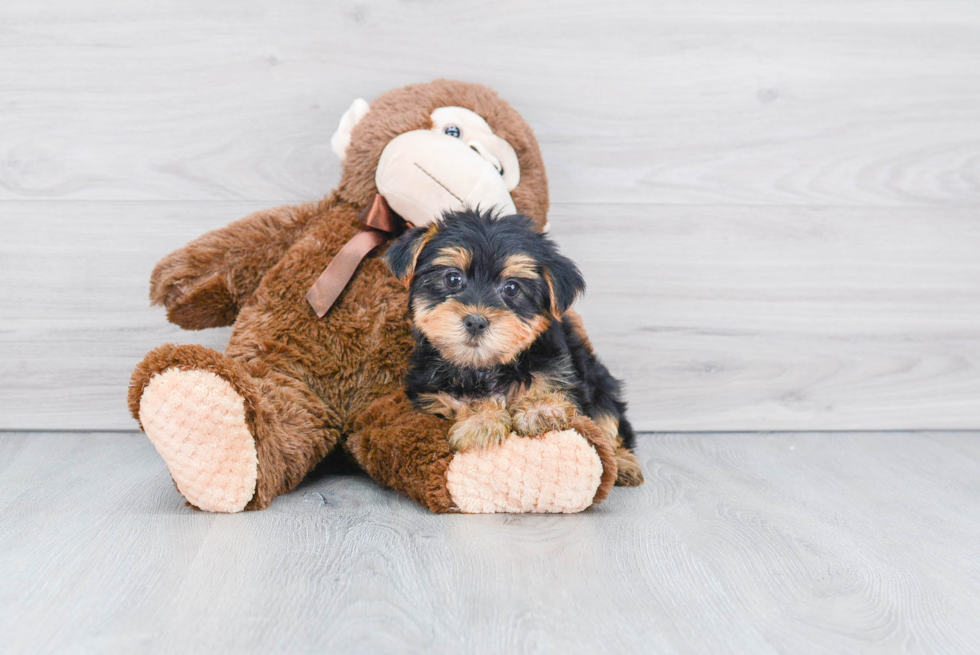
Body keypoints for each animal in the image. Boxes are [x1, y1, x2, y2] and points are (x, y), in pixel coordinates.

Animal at [382, 210, 644, 486]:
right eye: (453, 278)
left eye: (511, 288)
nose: (476, 321)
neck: (485, 368)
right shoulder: (433, 398)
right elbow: (464, 403)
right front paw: (480, 421)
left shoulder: (561, 372)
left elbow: (551, 389)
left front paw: (540, 410)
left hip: (600, 381)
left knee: (610, 421)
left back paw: (623, 463)